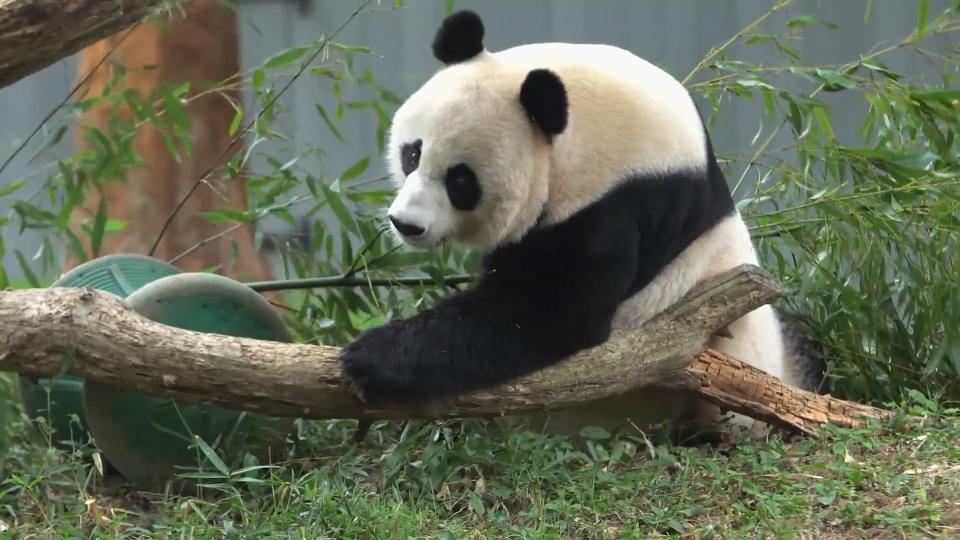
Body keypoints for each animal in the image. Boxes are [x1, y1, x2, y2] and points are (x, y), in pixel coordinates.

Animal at [340, 9, 824, 438]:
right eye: (413, 153)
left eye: (461, 181)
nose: (406, 224)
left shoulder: (614, 206)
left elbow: (548, 313)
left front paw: (370, 357)